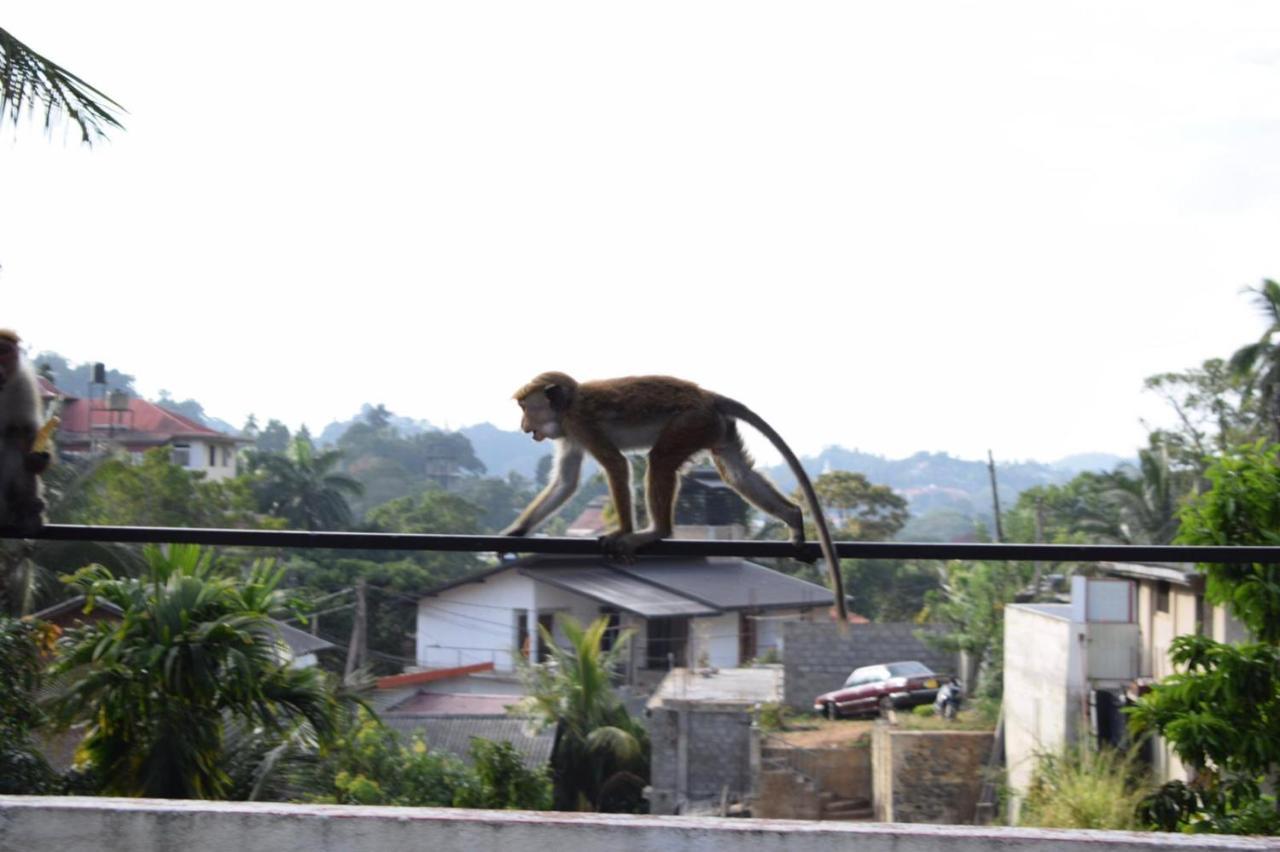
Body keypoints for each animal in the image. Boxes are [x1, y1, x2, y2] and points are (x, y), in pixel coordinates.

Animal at [499, 370, 849, 616]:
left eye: (526, 408)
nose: (524, 426)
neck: (569, 404)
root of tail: (706, 395)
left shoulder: (580, 423)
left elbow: (616, 465)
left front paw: (623, 530)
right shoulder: (569, 433)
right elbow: (565, 482)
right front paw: (516, 532)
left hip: (690, 421)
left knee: (661, 459)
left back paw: (656, 531)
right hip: (715, 426)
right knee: (737, 472)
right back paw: (793, 516)